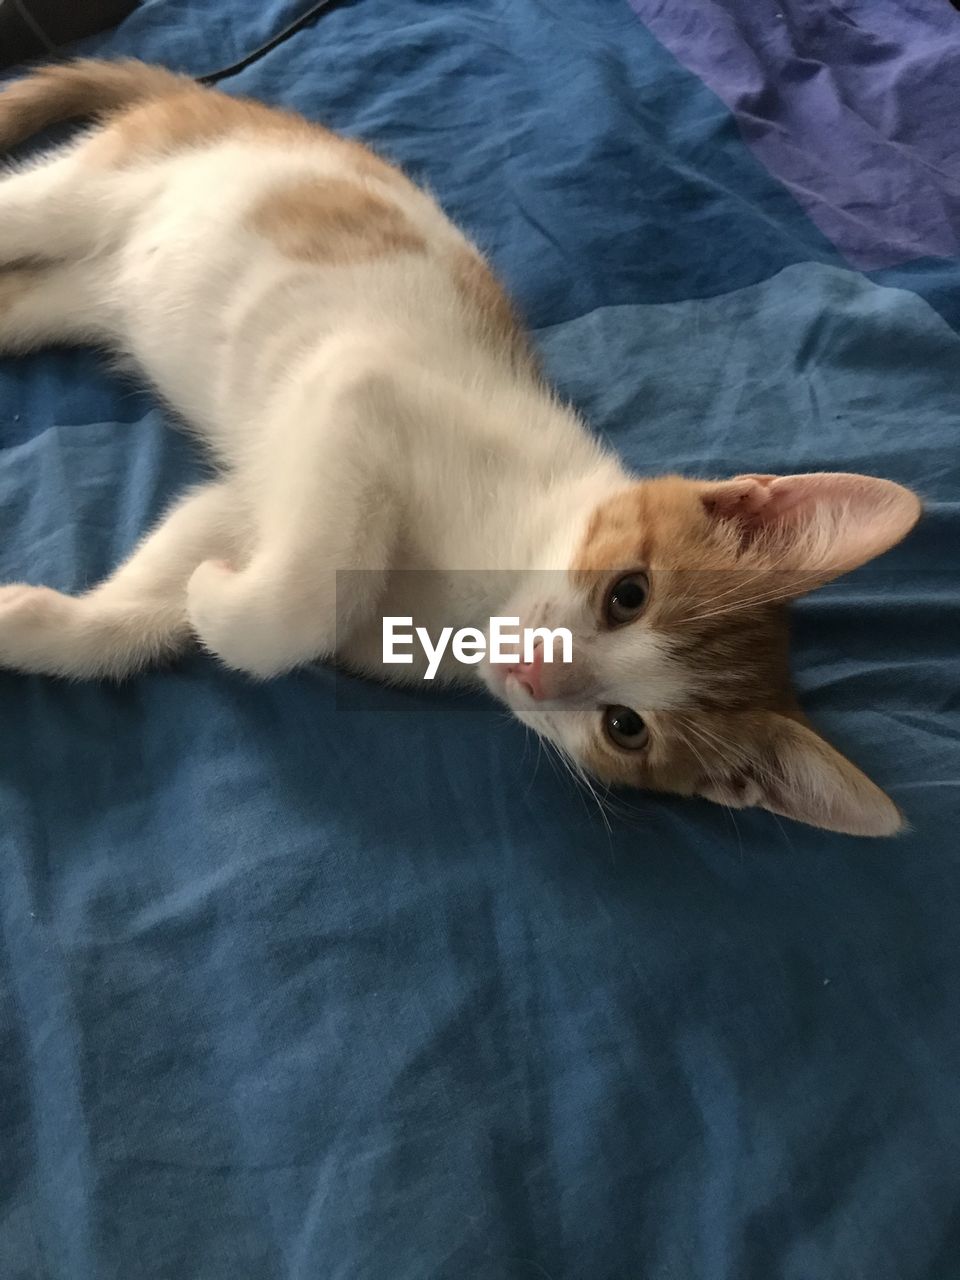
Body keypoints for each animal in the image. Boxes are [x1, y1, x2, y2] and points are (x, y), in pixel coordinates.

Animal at [0, 62, 921, 839]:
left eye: (624, 727)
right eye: (629, 594)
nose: (533, 671)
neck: (472, 595)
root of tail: (217, 97)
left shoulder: (256, 497)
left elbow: (193, 567)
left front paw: (83, 618)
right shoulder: (352, 392)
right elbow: (303, 598)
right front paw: (219, 595)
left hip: (77, 292)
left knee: (24, 296)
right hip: (107, 184)